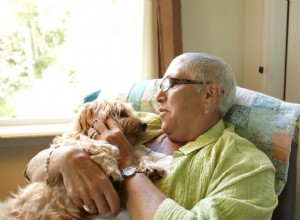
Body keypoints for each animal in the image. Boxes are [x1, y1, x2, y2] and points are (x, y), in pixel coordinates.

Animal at [0, 100, 164, 220]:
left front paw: (150, 166)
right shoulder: (73, 142)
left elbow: (140, 156)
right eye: (121, 113)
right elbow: (108, 148)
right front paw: (112, 167)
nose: (144, 124)